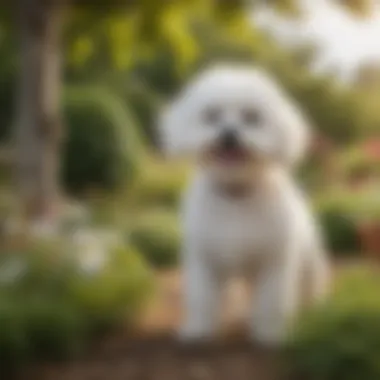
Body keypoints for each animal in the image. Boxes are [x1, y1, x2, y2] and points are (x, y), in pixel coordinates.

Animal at [160, 64, 330, 344]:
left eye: (252, 118)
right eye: (212, 115)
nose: (229, 134)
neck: (236, 193)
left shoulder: (273, 262)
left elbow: (271, 301)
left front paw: (271, 333)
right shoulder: (204, 260)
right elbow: (201, 297)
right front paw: (199, 330)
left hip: (307, 263)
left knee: (309, 288)